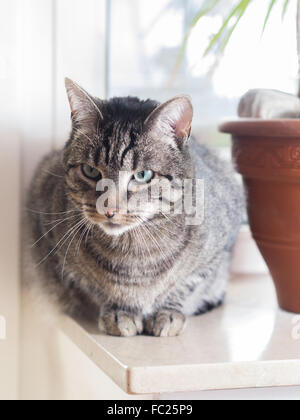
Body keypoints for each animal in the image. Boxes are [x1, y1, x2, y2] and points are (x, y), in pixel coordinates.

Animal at [26, 79, 244, 338]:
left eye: (142, 175)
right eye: (90, 171)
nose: (109, 208)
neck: (134, 256)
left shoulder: (215, 254)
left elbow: (184, 285)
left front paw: (167, 313)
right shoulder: (54, 246)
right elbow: (94, 286)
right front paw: (119, 311)